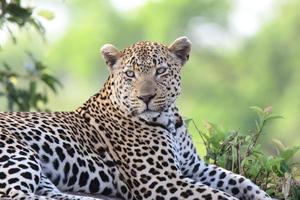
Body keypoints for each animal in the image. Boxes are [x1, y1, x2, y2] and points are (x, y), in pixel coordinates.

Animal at [0, 36, 272, 199]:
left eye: (161, 71)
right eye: (130, 74)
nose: (146, 97)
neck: (169, 120)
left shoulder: (194, 166)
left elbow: (242, 181)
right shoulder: (162, 180)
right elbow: (220, 195)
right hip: (18, 153)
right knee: (18, 195)